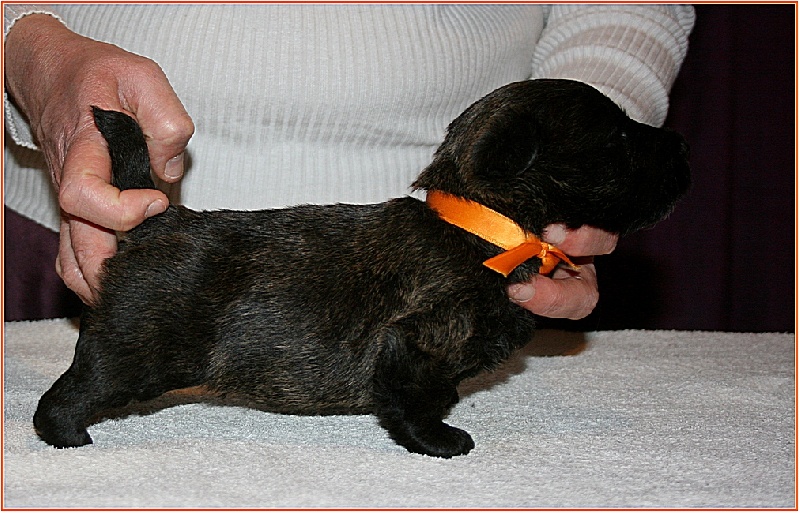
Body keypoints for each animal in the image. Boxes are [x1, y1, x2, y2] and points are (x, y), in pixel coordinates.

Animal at [34, 79, 690, 457]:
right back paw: (65, 434)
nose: (682, 146)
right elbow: (415, 401)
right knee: (75, 388)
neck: (485, 225)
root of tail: (158, 217)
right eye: (621, 139)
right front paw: (440, 441)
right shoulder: (417, 340)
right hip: (133, 352)